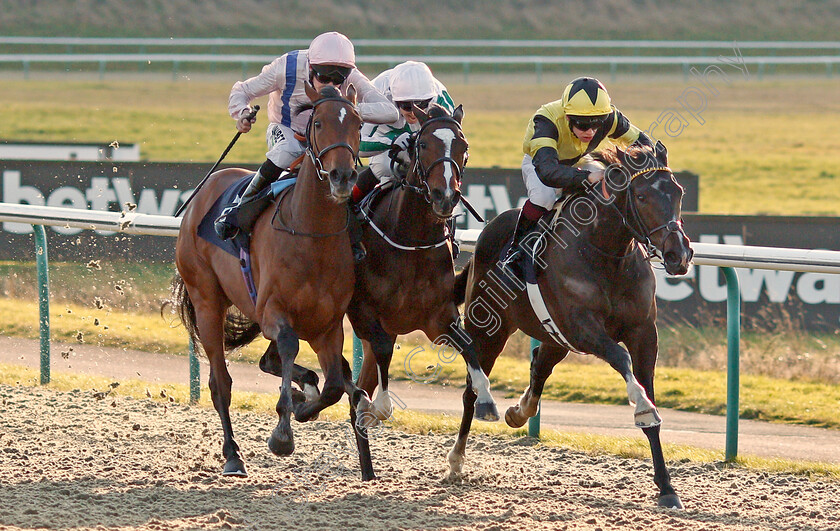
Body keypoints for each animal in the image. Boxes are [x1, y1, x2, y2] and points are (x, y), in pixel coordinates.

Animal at [169, 84, 372, 478]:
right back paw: (233, 454)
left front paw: (303, 404)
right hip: (206, 300)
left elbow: (335, 383)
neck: (311, 235)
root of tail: (203, 192)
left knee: (276, 365)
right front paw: (282, 433)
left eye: (357, 123)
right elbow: (291, 345)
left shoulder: (328, 325)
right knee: (220, 382)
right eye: (318, 123)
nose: (342, 177)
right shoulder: (272, 311)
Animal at [346, 103, 498, 478]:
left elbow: (470, 347)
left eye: (463, 146)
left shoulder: (438, 318)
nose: (446, 196)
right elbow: (382, 354)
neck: (410, 240)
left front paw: (487, 399)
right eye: (424, 144)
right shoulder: (364, 311)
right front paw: (379, 407)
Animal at [450, 143, 692, 510]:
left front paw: (666, 487)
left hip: (554, 337)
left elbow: (646, 386)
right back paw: (458, 456)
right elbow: (621, 361)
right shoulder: (583, 329)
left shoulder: (643, 333)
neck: (607, 255)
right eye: (641, 195)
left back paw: (519, 412)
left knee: (539, 368)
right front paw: (641, 409)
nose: (679, 254)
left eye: (678, 192)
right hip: (490, 329)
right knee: (472, 387)